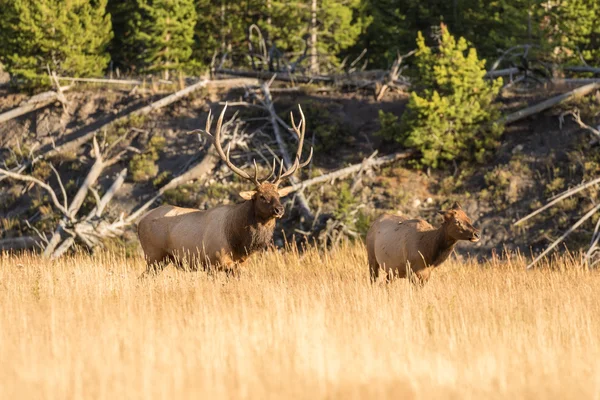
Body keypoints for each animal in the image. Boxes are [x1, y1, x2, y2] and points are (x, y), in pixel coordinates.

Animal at [137, 103, 314, 278]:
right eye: (261, 196)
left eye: (278, 195)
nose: (279, 209)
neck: (239, 242)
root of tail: (139, 222)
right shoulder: (215, 261)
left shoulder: (239, 263)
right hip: (153, 255)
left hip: (162, 259)